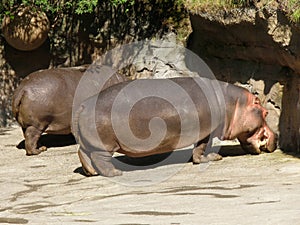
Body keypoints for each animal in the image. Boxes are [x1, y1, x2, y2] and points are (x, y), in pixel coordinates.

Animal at [72, 76, 276, 177]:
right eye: (265, 112)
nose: (276, 136)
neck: (233, 104)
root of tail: (83, 105)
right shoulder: (207, 132)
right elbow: (202, 147)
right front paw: (214, 158)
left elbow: (199, 148)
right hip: (104, 144)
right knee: (99, 158)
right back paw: (115, 173)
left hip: (90, 142)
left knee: (83, 153)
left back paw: (91, 173)